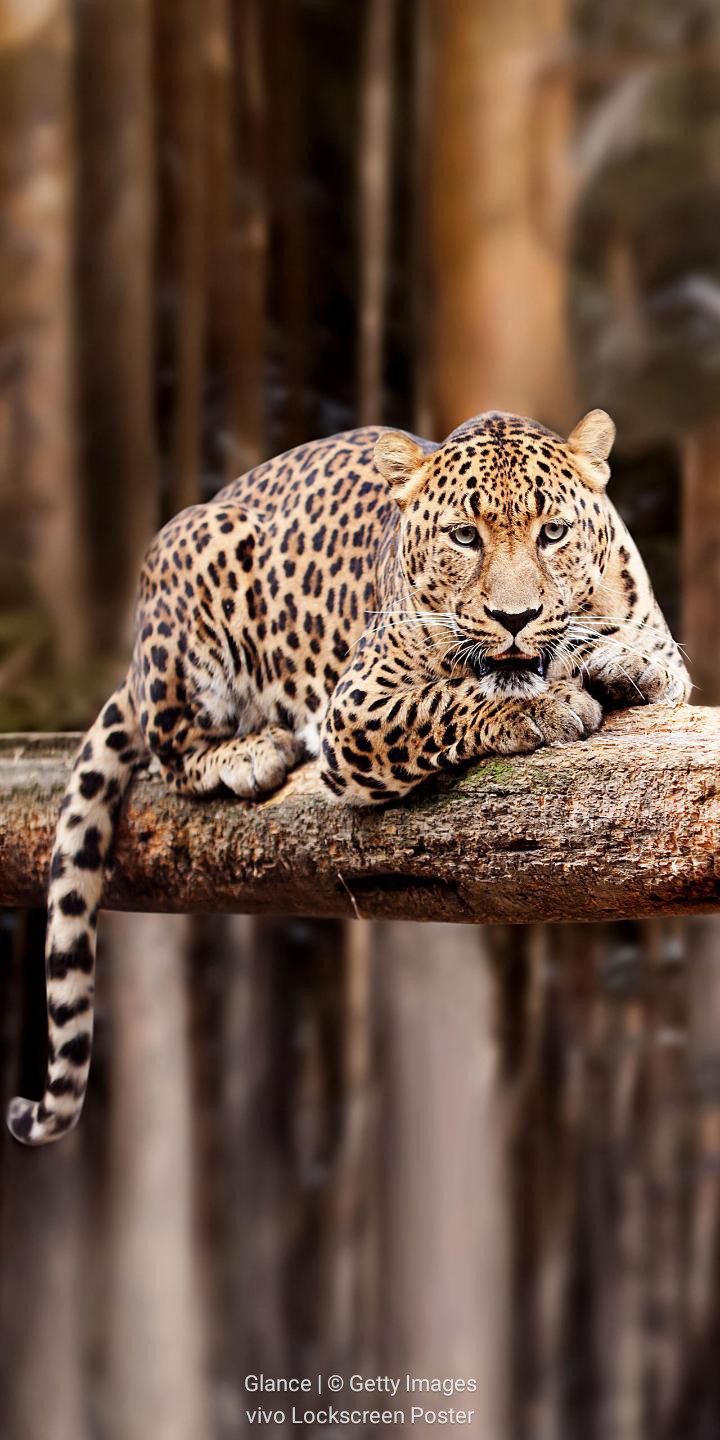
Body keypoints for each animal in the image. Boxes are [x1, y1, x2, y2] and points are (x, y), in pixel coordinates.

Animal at [7, 407, 690, 1145]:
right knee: (169, 745)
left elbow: (657, 661)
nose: (515, 619)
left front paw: (622, 661)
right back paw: (248, 751)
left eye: (553, 532)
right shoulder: (357, 708)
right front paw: (543, 703)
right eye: (465, 536)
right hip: (195, 558)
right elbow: (448, 700)